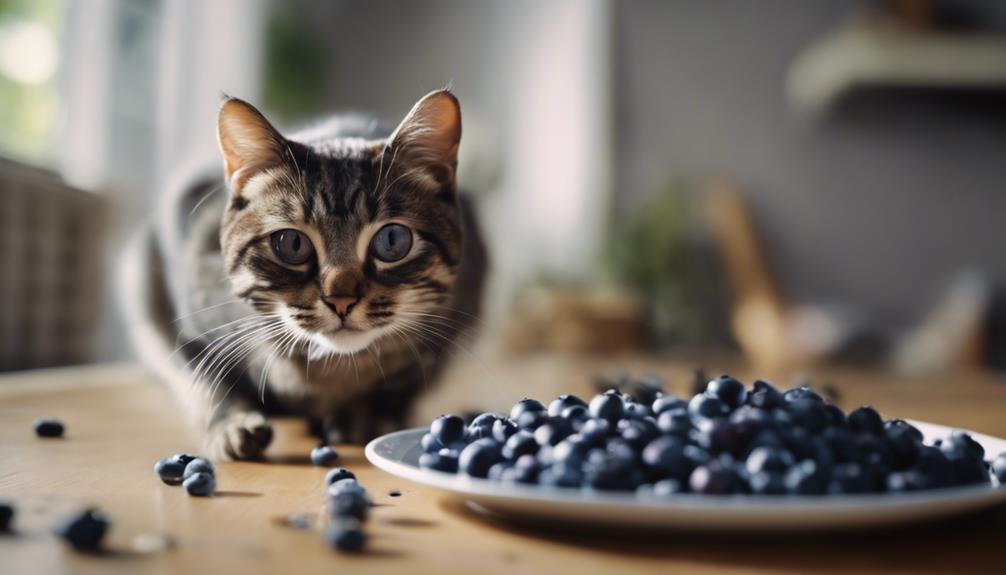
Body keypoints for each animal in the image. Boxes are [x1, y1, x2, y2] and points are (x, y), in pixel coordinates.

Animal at [119, 88, 488, 458]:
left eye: (392, 240)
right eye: (292, 244)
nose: (341, 300)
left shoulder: (449, 329)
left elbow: (403, 383)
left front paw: (367, 416)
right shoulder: (187, 323)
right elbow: (207, 380)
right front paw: (231, 424)